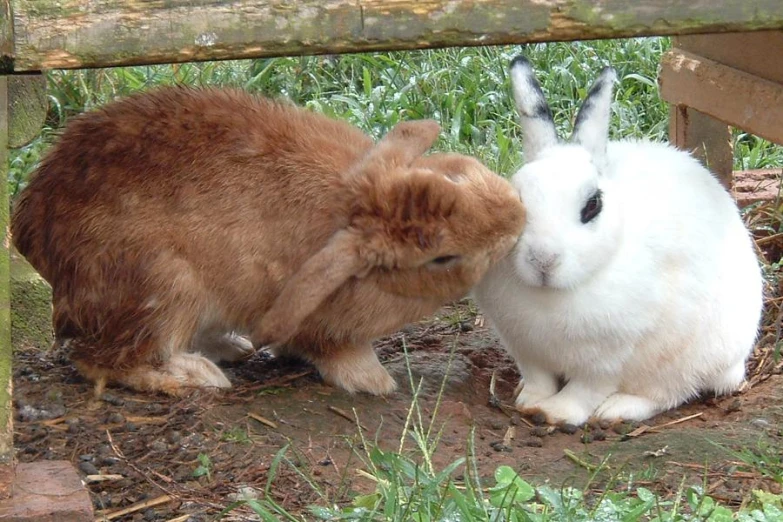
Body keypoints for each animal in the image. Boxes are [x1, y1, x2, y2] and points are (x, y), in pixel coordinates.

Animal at [10, 87, 528, 394]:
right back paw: (197, 376)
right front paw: (374, 381)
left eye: (454, 173)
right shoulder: (324, 324)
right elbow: (335, 350)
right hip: (162, 286)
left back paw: (230, 348)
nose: (517, 217)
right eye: (441, 257)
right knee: (102, 360)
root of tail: (36, 243)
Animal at [474, 54, 764, 424]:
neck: (552, 294)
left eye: (592, 206)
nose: (542, 259)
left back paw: (618, 410)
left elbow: (584, 392)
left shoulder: (606, 362)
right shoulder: (526, 350)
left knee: (668, 393)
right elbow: (539, 379)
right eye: (517, 199)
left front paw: (555, 413)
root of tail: (736, 366)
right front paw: (530, 402)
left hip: (683, 360)